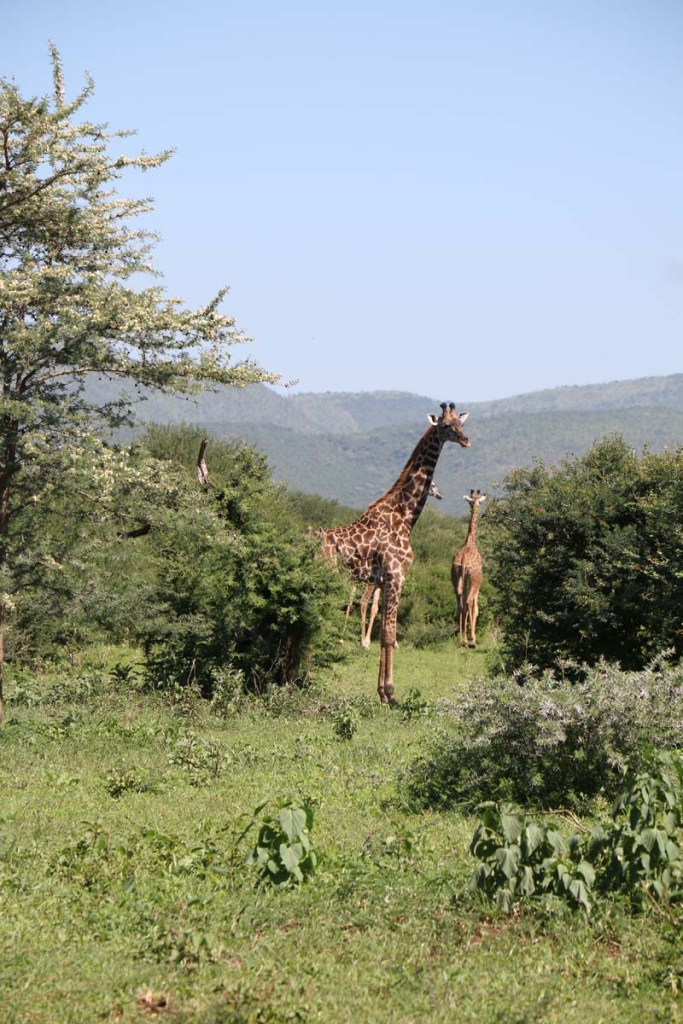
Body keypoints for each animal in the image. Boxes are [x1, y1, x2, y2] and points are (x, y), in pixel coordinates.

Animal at [347, 480, 445, 649]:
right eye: (433, 485)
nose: (440, 495)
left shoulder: (381, 584)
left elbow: (377, 608)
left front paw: (380, 639)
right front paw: (388, 642)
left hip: (355, 579)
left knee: (349, 599)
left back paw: (343, 632)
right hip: (365, 581)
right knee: (362, 601)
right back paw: (362, 642)